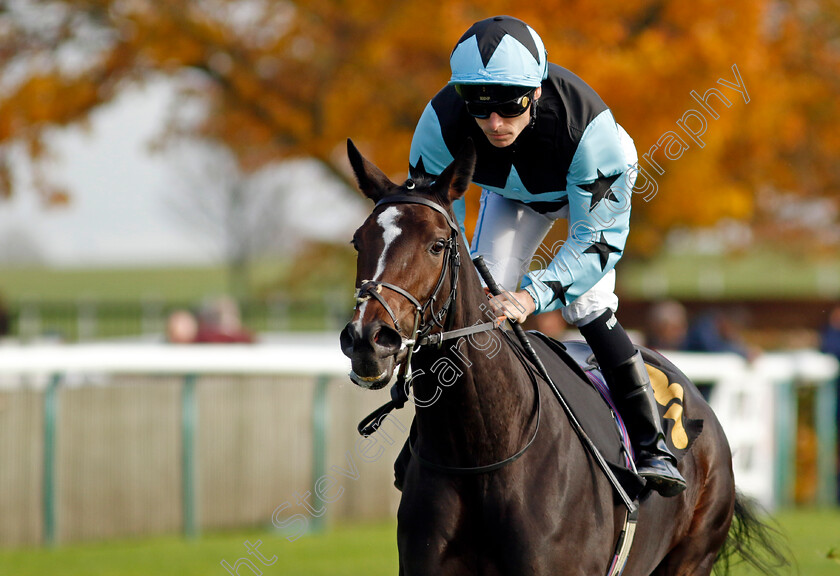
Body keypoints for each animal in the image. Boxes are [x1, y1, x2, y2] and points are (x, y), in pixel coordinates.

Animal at [338, 140, 784, 576]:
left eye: (435, 245)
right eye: (359, 241)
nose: (367, 339)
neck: (482, 452)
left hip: (692, 557)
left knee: (593, 304)